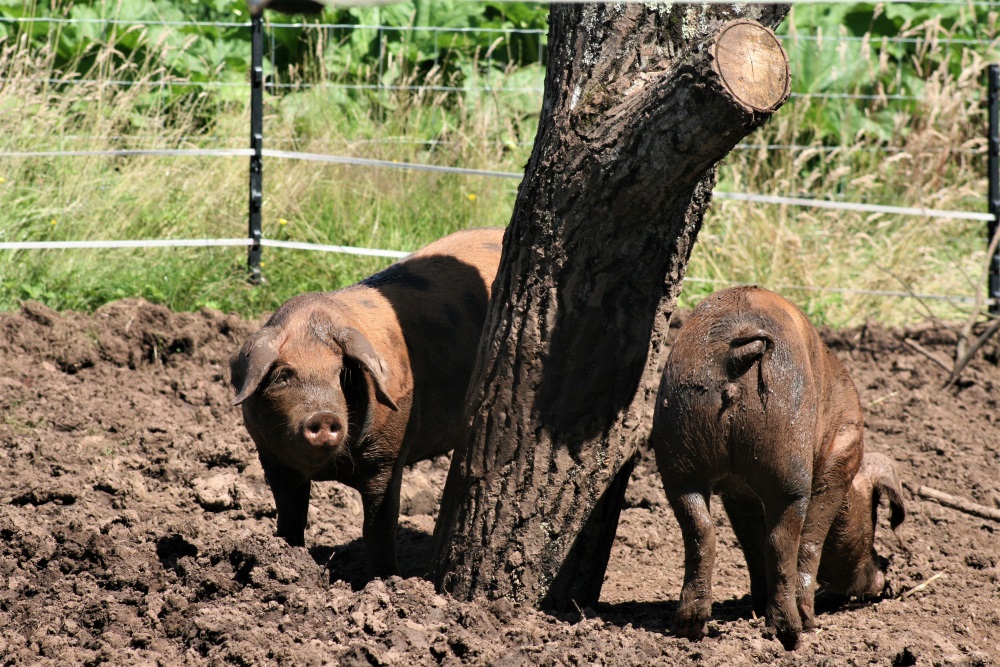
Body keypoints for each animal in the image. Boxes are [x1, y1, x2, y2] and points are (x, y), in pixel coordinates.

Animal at [229, 227, 504, 576]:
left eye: (341, 374)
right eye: (282, 376)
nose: (323, 415)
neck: (329, 468)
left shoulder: (388, 457)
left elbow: (377, 528)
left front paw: (386, 578)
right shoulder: (271, 457)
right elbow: (290, 516)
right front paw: (286, 556)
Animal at [650, 286, 905, 650]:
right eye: (872, 514)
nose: (883, 580)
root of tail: (736, 356)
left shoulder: (736, 492)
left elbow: (750, 542)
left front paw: (753, 608)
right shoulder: (838, 464)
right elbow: (810, 541)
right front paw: (809, 622)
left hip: (680, 451)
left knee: (701, 531)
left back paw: (691, 627)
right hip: (788, 461)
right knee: (782, 541)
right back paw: (792, 632)